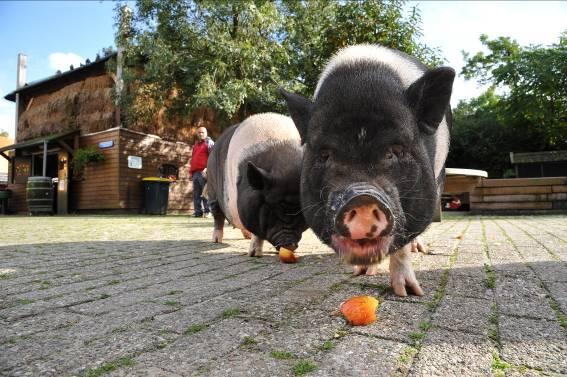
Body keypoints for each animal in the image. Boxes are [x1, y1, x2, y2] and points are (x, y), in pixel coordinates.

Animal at [206, 113, 308, 256]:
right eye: (271, 208)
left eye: (301, 212)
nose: (289, 244)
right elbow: (257, 232)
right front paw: (254, 254)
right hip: (212, 189)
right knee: (217, 215)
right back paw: (216, 240)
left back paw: (246, 236)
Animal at [284, 44, 458, 296]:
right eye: (325, 154)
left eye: (396, 150)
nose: (362, 197)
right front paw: (362, 273)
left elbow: (401, 245)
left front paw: (408, 292)